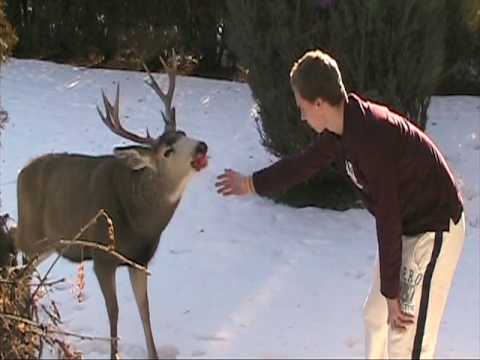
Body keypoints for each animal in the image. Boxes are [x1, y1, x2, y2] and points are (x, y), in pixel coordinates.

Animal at [12, 57, 208, 358]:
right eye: (167, 151)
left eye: (184, 133)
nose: (201, 146)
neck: (139, 220)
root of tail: (22, 173)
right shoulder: (102, 257)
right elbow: (114, 312)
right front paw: (114, 353)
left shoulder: (139, 260)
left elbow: (145, 311)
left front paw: (153, 353)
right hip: (32, 232)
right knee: (19, 264)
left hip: (49, 244)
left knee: (25, 273)